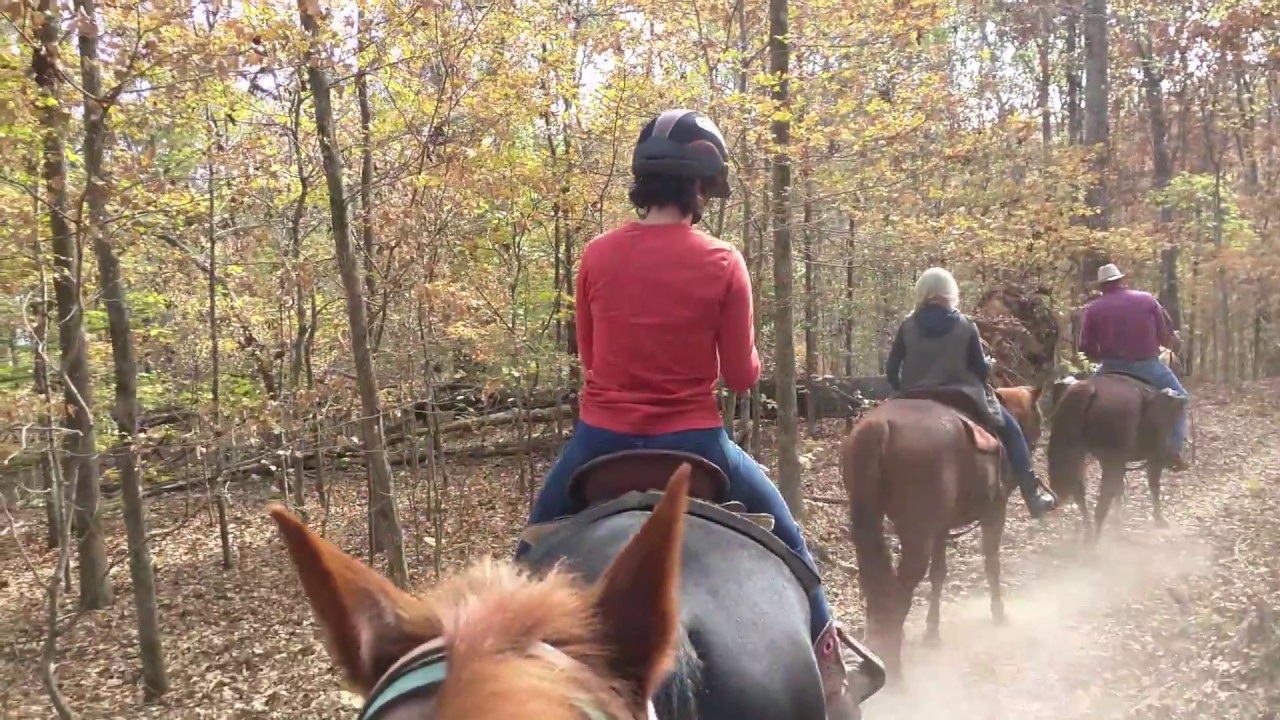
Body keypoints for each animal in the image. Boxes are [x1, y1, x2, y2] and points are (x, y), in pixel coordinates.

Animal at [1044, 371, 1182, 535]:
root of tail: (1090, 389)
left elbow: (1120, 488)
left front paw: (1117, 521)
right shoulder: (1154, 459)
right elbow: (1154, 486)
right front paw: (1159, 520)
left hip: (1079, 457)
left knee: (1080, 491)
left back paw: (1090, 530)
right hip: (1111, 462)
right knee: (1102, 501)